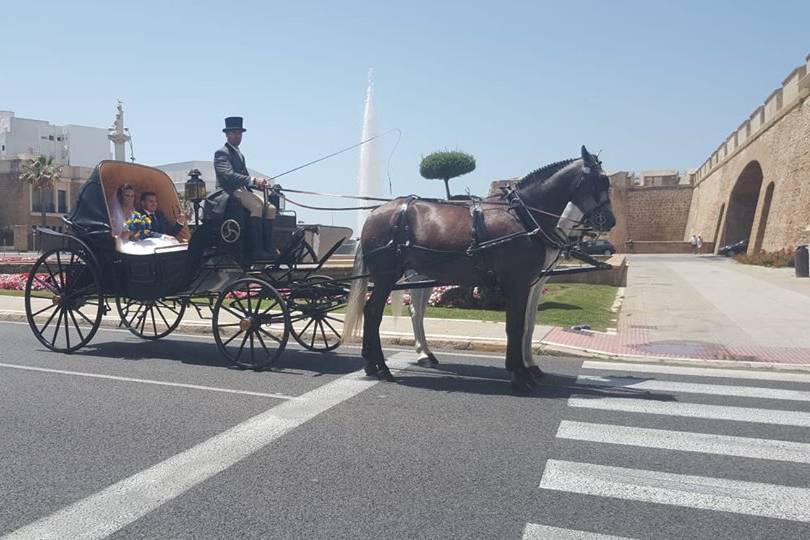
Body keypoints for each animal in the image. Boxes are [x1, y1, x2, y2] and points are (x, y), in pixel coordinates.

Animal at [340, 147, 612, 392]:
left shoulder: (531, 282)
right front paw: (520, 374)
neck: (523, 217)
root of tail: (375, 213)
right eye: (601, 180)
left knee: (399, 312)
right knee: (374, 312)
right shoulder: (518, 282)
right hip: (386, 276)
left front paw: (527, 369)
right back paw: (383, 367)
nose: (609, 221)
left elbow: (526, 324)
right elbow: (516, 326)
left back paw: (379, 363)